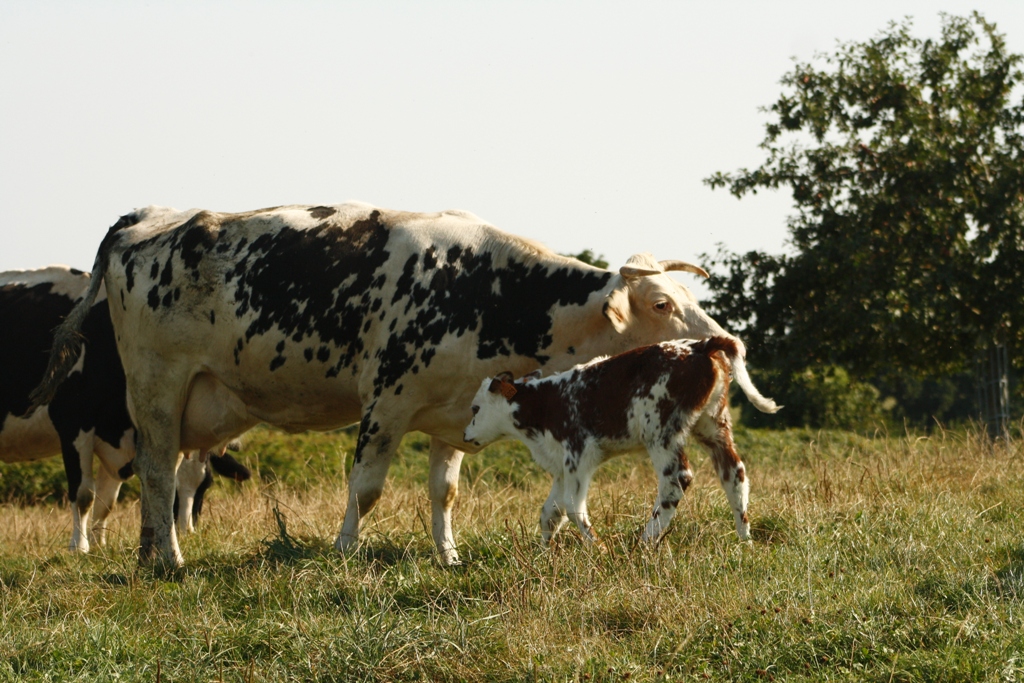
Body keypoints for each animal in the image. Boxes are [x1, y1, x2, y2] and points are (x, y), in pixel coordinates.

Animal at [1, 264, 249, 552]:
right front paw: (79, 547)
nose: (186, 533)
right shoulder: (73, 425)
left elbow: (107, 501)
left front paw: (99, 545)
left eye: (205, 486)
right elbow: (84, 493)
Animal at [460, 335, 778, 544]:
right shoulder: (562, 466)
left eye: (475, 408)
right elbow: (550, 512)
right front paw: (543, 553)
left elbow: (573, 508)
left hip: (661, 433)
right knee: (734, 474)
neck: (546, 403)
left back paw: (645, 542)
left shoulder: (577, 456)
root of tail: (701, 345)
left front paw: (597, 547)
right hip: (714, 426)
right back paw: (744, 541)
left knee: (676, 481)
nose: (465, 435)